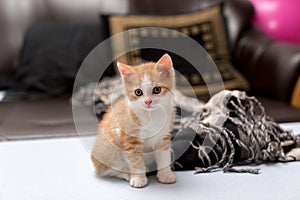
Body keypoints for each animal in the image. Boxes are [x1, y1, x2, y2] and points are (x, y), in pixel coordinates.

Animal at [91, 54, 176, 188]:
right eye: (138, 92)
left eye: (157, 90)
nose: (148, 101)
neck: (151, 115)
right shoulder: (129, 138)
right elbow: (135, 160)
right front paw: (138, 178)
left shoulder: (164, 136)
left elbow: (164, 155)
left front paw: (165, 174)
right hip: (109, 150)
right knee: (107, 170)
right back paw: (127, 174)